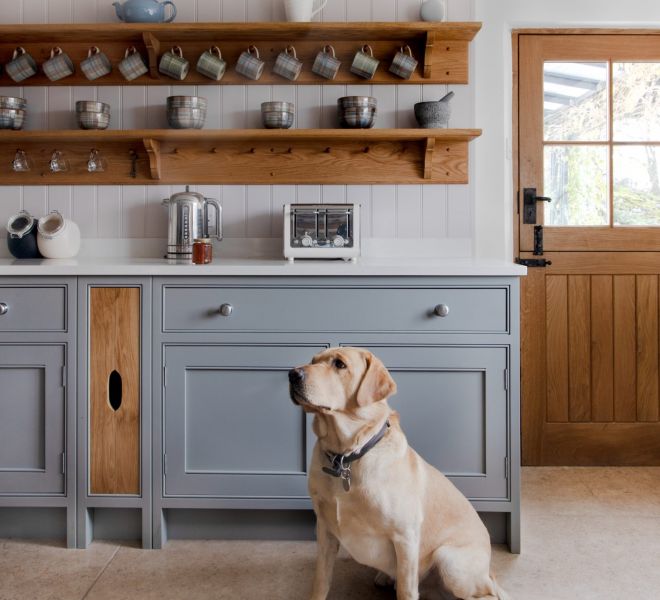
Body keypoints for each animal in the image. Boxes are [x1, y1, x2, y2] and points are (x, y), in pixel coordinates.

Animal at [288, 346, 510, 600]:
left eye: (339, 364)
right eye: (313, 360)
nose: (292, 374)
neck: (347, 456)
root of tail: (489, 571)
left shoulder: (406, 536)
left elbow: (406, 589)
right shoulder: (324, 529)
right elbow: (320, 582)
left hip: (450, 562)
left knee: (487, 593)